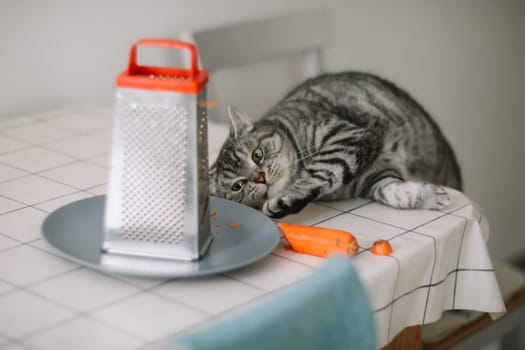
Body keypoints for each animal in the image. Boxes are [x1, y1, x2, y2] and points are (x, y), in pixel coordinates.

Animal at [207, 72, 460, 219]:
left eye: (257, 155)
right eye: (238, 186)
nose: (260, 178)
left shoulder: (346, 137)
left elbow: (319, 173)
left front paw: (285, 200)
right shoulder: (373, 176)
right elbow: (395, 193)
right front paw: (429, 196)